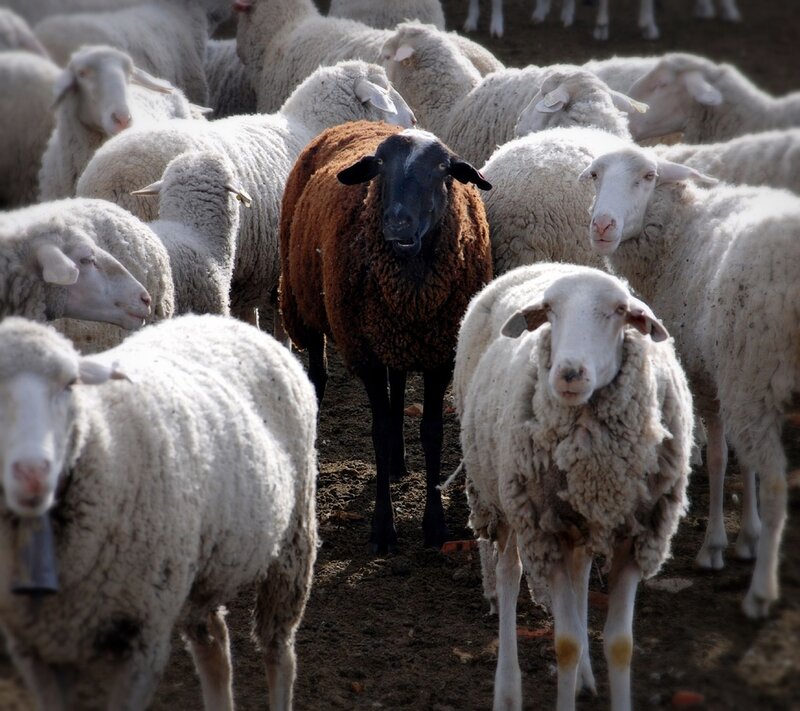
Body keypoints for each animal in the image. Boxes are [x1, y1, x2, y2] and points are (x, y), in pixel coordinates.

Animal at [0, 312, 318, 710]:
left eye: (70, 383)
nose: (32, 473)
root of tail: (221, 319)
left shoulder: (142, 639)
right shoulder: (33, 651)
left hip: (293, 541)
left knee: (278, 650)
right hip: (198, 570)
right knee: (214, 644)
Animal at [279, 120, 492, 553]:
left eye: (443, 168)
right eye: (379, 165)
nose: (397, 222)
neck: (411, 291)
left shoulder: (439, 352)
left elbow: (432, 432)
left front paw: (434, 526)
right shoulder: (366, 354)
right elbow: (376, 432)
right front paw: (383, 528)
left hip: (392, 336)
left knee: (398, 386)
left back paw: (398, 462)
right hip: (303, 304)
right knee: (318, 376)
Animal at [458, 264, 693, 711]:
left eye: (620, 311)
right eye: (550, 310)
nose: (568, 373)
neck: (595, 465)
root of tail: (539, 264)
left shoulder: (636, 535)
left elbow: (620, 644)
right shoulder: (546, 533)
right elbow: (565, 643)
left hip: (577, 522)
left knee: (581, 575)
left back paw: (584, 677)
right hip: (503, 498)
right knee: (509, 575)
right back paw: (507, 688)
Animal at [581, 144, 800, 618]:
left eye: (648, 176)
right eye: (594, 175)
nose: (602, 225)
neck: (680, 236)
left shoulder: (713, 377)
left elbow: (720, 458)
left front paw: (715, 547)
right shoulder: (728, 373)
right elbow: (742, 461)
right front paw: (747, 538)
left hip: (756, 371)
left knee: (777, 485)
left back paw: (760, 592)